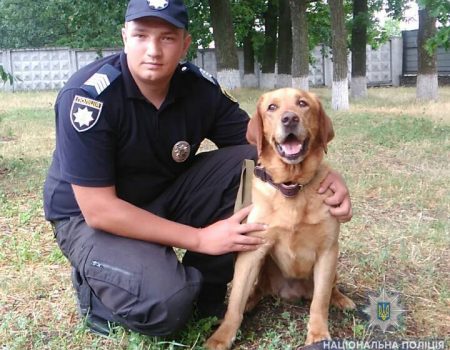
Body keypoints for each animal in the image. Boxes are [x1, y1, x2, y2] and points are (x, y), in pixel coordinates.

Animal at [206, 89, 356, 348]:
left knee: (328, 290)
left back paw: (341, 299)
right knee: (254, 291)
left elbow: (320, 302)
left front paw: (318, 335)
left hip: (332, 266)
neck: (291, 186)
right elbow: (235, 302)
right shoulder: (252, 250)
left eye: (302, 103)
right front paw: (221, 337)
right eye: (272, 107)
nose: (290, 119)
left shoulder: (327, 251)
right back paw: (250, 302)